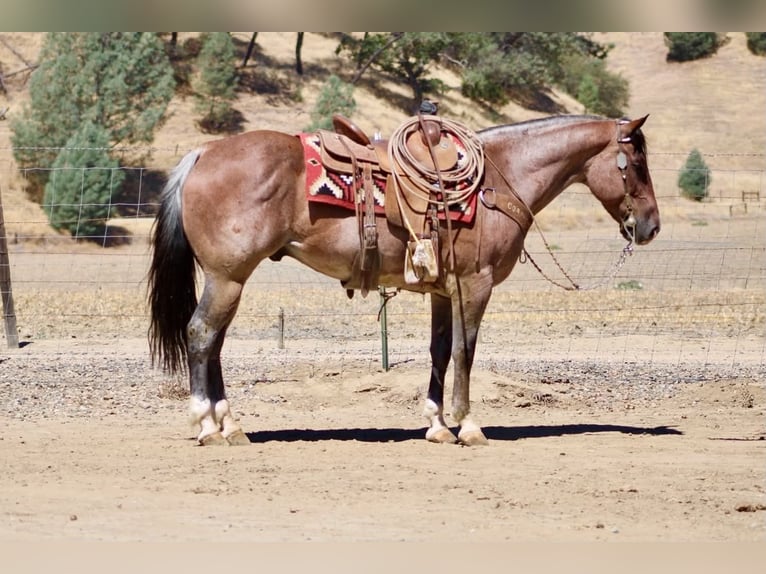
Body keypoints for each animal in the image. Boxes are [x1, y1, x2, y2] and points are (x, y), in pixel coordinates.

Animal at [148, 114, 660, 447]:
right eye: (636, 164)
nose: (651, 226)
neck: (499, 178)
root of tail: (204, 152)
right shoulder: (476, 284)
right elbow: (465, 351)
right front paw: (468, 425)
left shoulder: (444, 291)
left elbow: (439, 351)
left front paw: (436, 424)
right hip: (227, 277)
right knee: (201, 335)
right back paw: (208, 425)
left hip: (231, 279)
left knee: (214, 343)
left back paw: (231, 425)